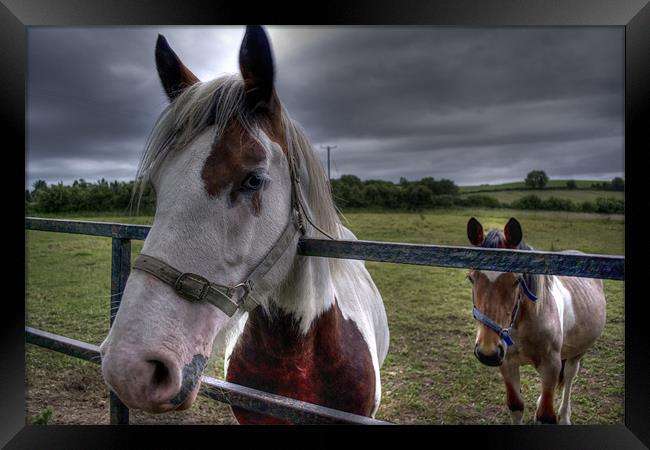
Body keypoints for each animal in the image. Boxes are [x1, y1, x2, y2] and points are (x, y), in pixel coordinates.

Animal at [464, 218, 604, 426]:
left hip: (578, 352)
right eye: (471, 278)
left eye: (516, 280)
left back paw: (565, 416)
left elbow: (546, 415)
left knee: (569, 377)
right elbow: (516, 406)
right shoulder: (507, 364)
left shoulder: (551, 366)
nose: (487, 352)